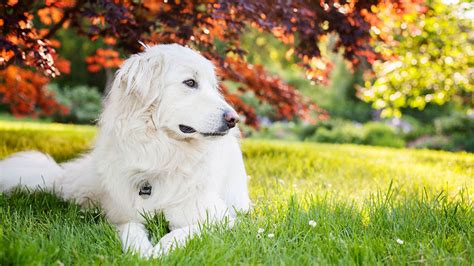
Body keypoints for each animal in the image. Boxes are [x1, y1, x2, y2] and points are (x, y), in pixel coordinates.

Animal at [0, 44, 252, 258]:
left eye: (212, 87)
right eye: (190, 83)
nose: (234, 119)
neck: (162, 154)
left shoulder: (219, 219)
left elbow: (183, 232)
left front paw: (159, 251)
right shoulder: (124, 215)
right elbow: (131, 230)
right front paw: (140, 252)